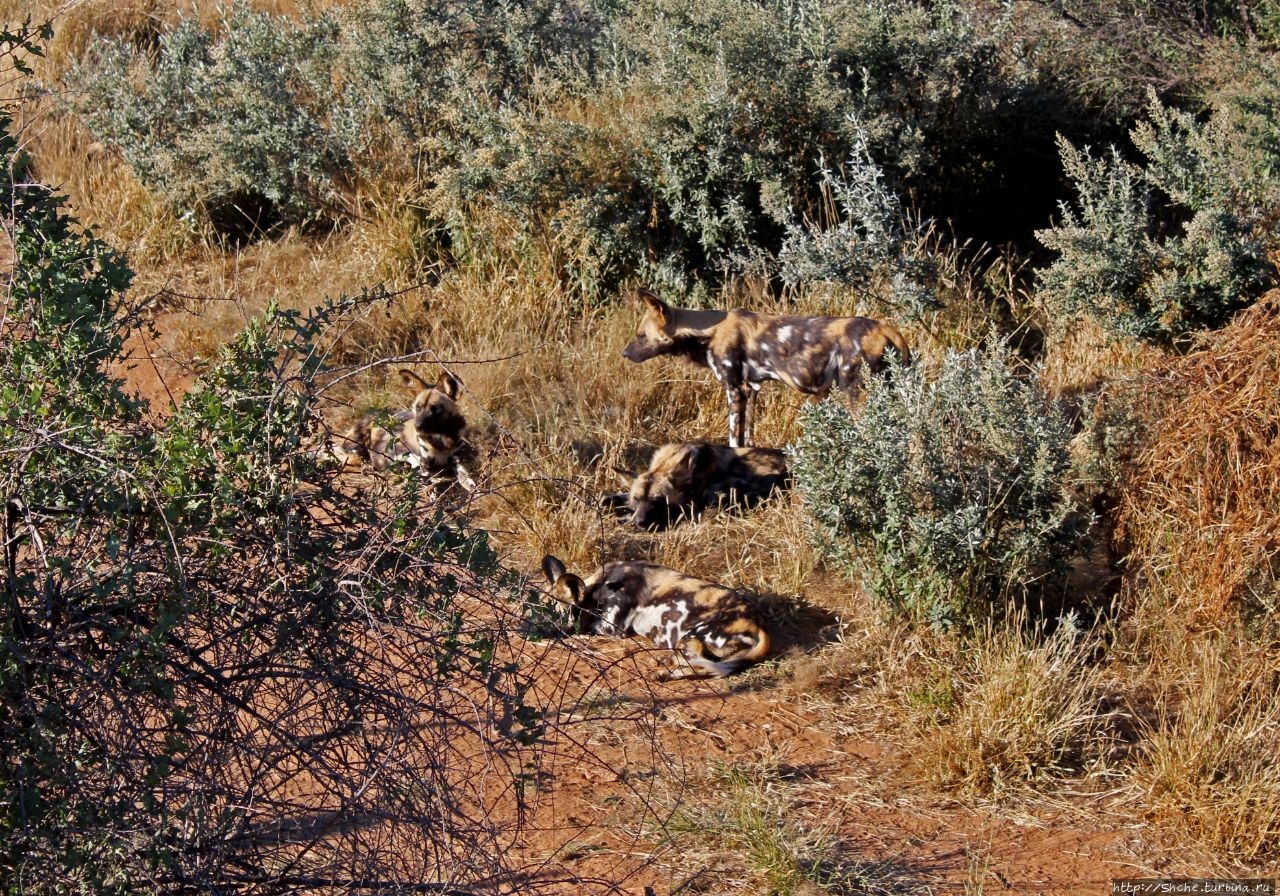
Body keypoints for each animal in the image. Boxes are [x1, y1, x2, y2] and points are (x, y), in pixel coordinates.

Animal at [332, 366, 478, 488]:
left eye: (436, 408)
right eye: (418, 408)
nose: (417, 426)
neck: (442, 438)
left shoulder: (457, 461)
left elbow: (470, 483)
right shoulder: (418, 465)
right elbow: (431, 487)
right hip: (356, 450)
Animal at [537, 552, 768, 680]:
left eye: (548, 615)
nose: (527, 629)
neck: (598, 587)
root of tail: (758, 626)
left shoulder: (611, 627)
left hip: (692, 637)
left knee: (698, 661)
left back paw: (664, 667)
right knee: (707, 668)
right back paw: (663, 672)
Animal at [599, 442, 788, 532]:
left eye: (659, 501)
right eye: (637, 500)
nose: (640, 522)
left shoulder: (695, 507)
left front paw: (624, 518)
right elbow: (607, 498)